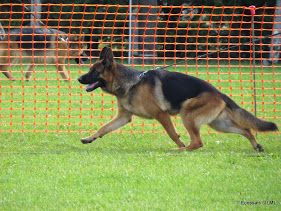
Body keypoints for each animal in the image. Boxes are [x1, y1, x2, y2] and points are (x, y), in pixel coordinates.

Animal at [77, 46, 276, 151]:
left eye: (93, 72)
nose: (78, 79)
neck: (131, 82)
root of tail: (219, 93)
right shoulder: (124, 117)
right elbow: (104, 128)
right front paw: (89, 138)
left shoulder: (161, 115)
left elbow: (172, 134)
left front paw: (179, 143)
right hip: (219, 124)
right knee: (246, 130)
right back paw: (256, 146)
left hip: (187, 114)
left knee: (197, 142)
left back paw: (180, 150)